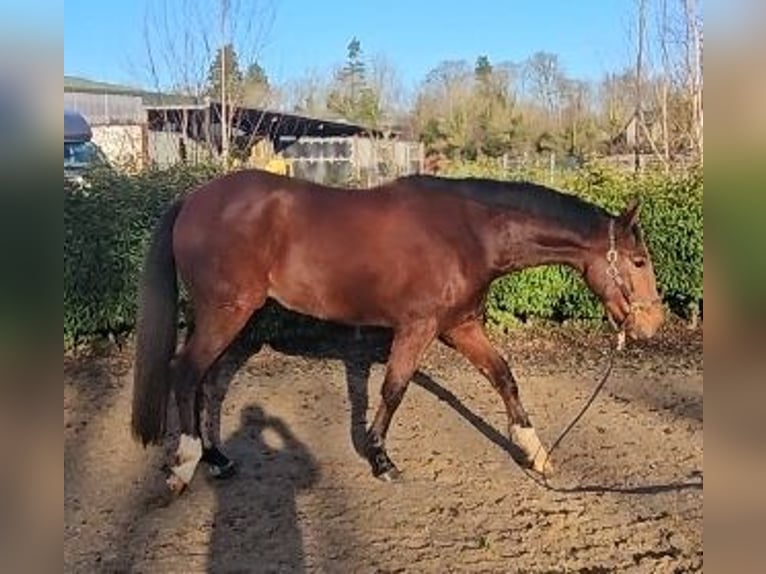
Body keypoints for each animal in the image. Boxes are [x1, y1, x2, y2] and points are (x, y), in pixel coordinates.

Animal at [131, 169, 664, 493]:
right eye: (638, 261)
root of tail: (194, 199)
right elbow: (394, 389)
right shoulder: (418, 327)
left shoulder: (460, 326)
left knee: (206, 381)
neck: (468, 233)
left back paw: (217, 458)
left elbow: (503, 376)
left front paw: (535, 452)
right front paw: (381, 460)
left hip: (226, 318)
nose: (652, 323)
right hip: (227, 312)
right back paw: (185, 465)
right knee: (186, 372)